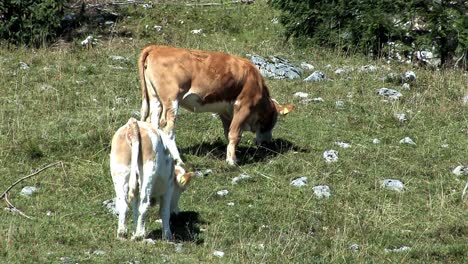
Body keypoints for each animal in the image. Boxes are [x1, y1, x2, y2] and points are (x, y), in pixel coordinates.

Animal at [139, 45, 292, 165]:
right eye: (273, 119)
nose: (267, 143)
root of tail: (157, 47)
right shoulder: (243, 106)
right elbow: (235, 134)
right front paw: (231, 162)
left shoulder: (225, 111)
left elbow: (228, 132)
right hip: (171, 100)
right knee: (167, 129)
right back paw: (178, 160)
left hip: (155, 98)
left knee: (152, 123)